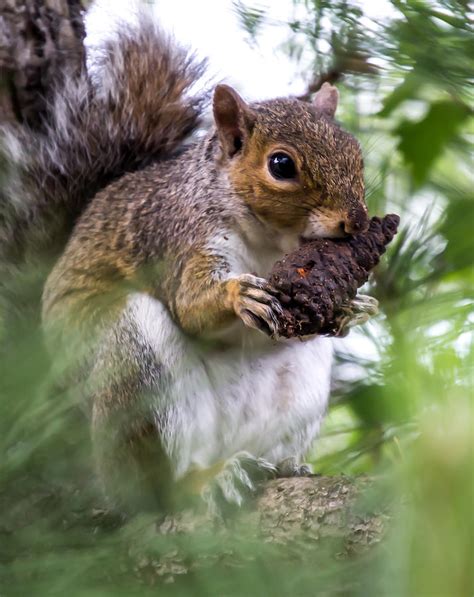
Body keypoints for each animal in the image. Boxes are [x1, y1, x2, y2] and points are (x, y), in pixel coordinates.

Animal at [1, 5, 376, 512]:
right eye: (281, 165)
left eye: (355, 153)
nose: (356, 223)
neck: (271, 244)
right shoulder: (182, 240)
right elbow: (191, 305)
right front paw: (240, 295)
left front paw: (355, 307)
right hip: (130, 365)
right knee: (151, 491)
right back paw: (200, 483)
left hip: (299, 386)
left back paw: (277, 467)